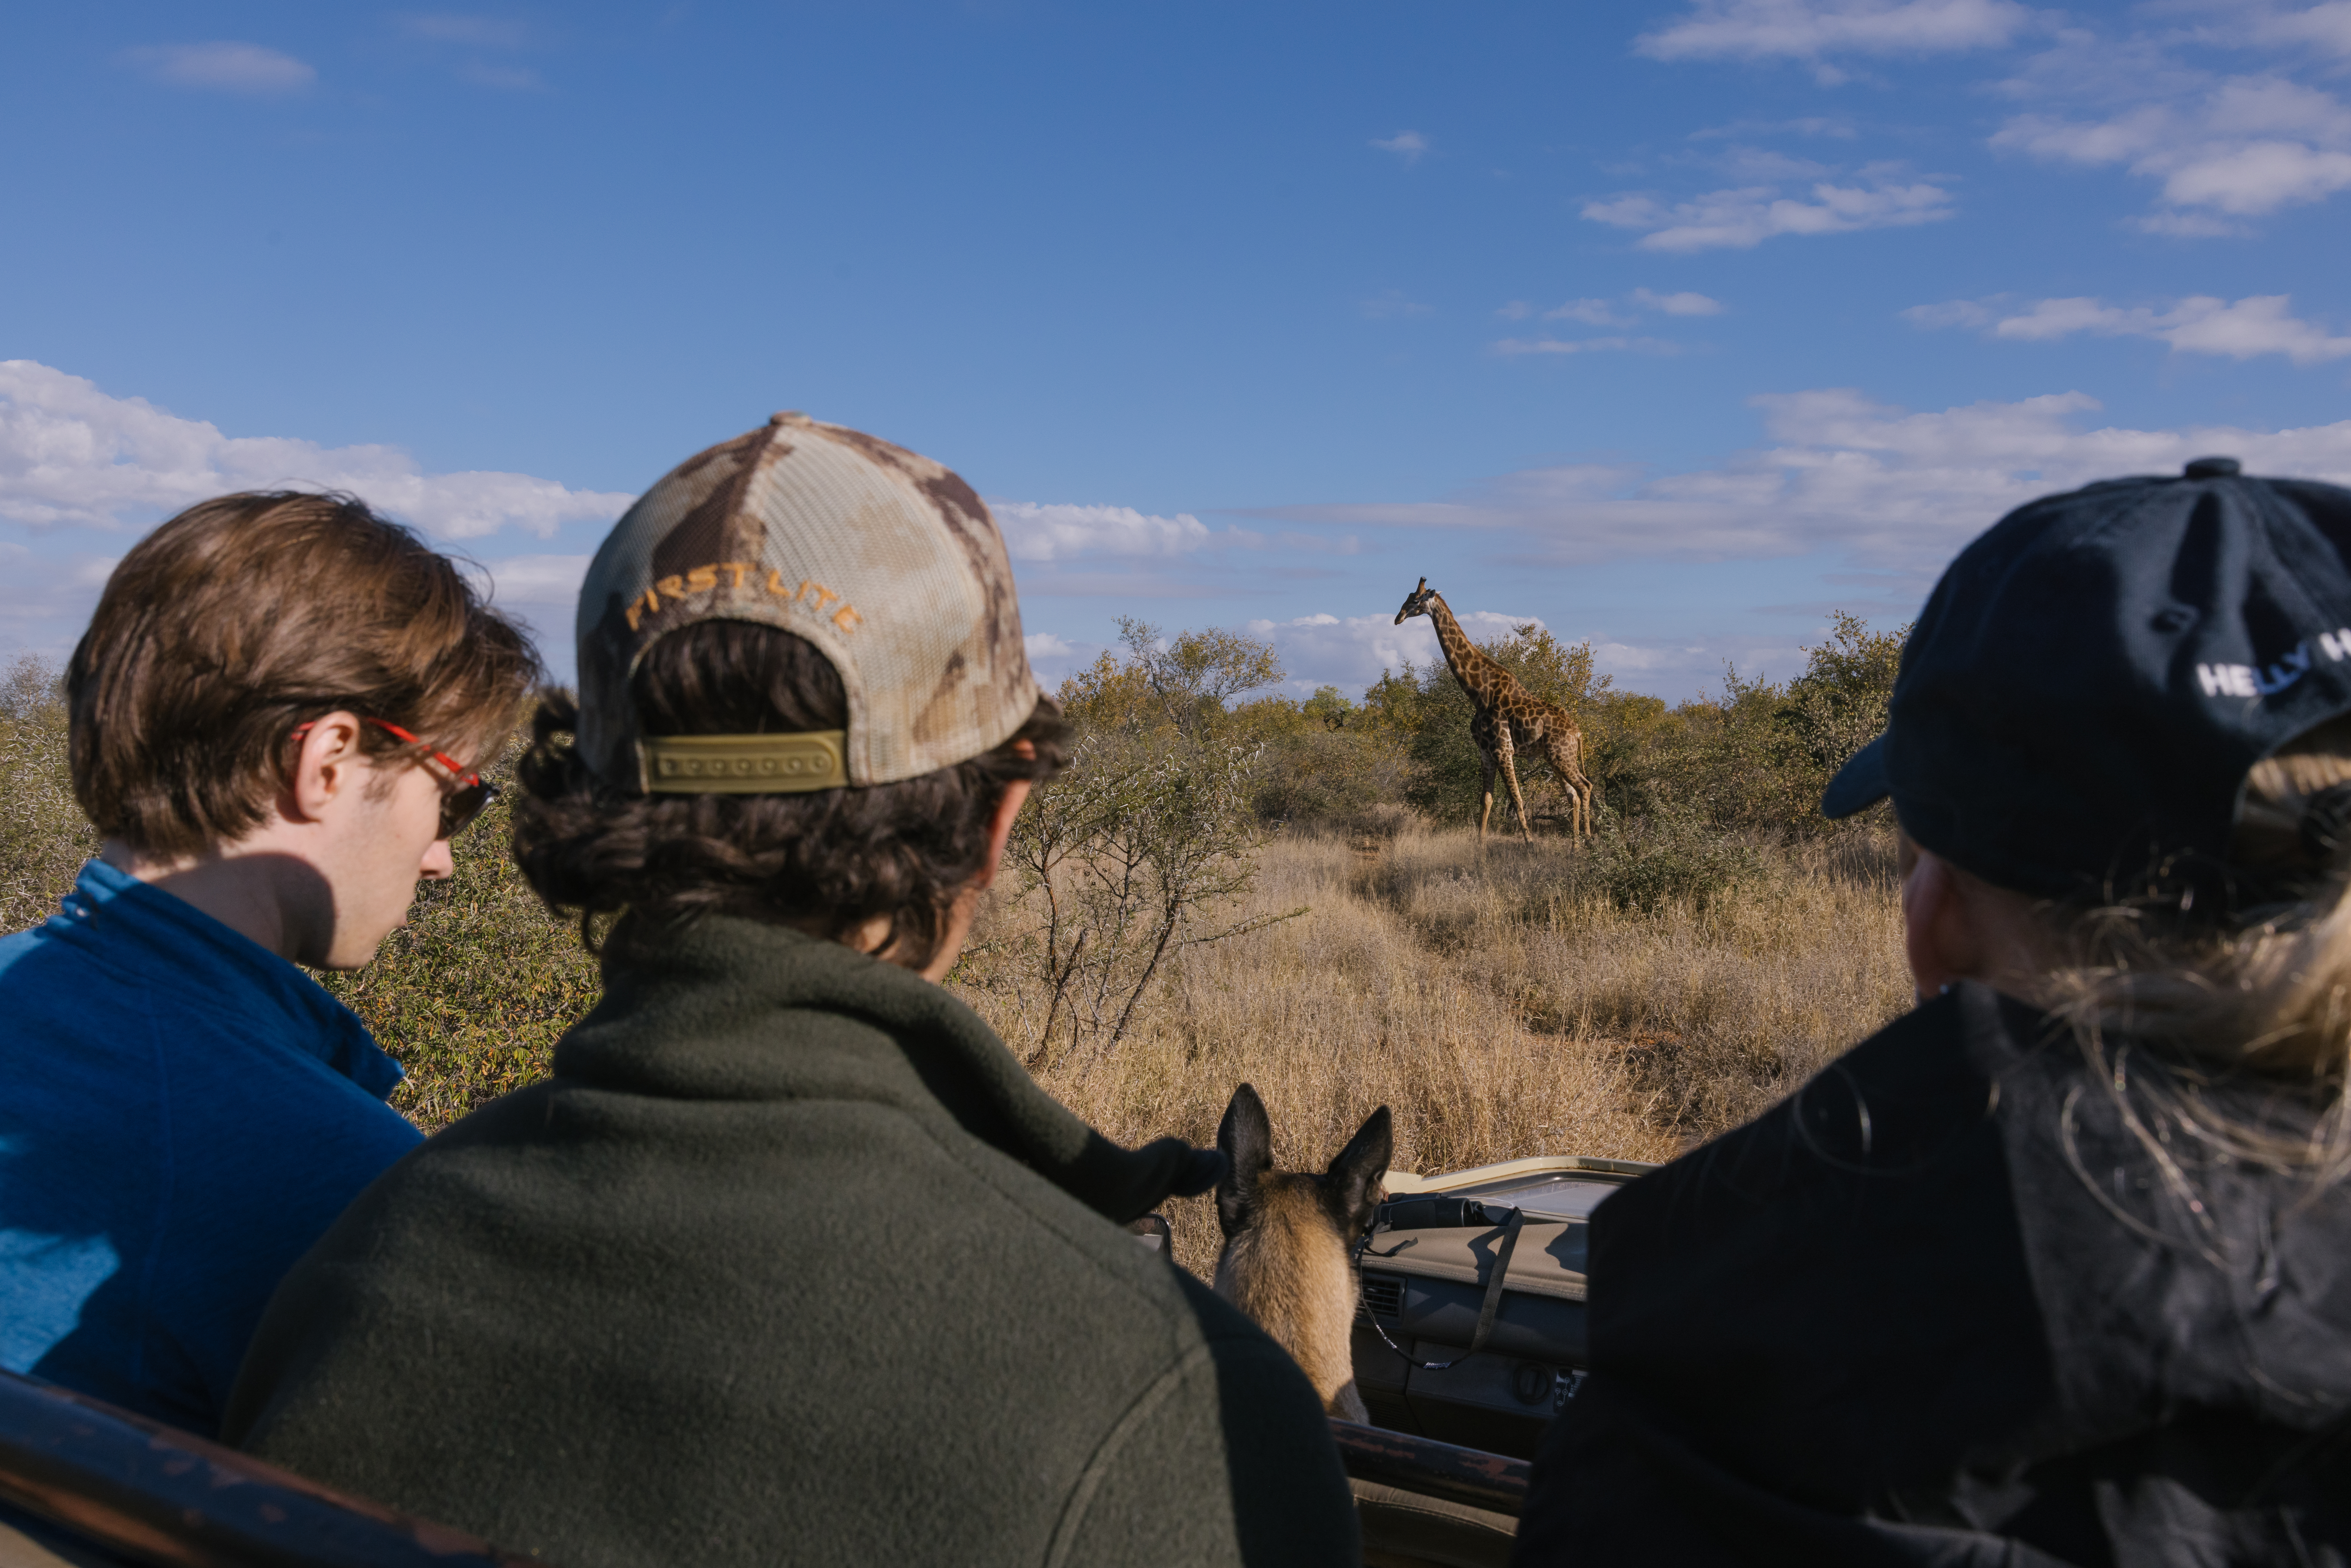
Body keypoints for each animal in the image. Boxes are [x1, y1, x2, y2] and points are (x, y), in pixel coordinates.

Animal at [1395, 577, 1595, 843]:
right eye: (1408, 597)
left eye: (1416, 600)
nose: (1398, 618)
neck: (1479, 693)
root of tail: (1577, 732)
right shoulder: (1485, 752)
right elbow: (1487, 799)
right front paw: (1480, 844)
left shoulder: (1503, 750)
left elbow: (1517, 799)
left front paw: (1530, 844)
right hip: (1555, 757)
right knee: (1573, 794)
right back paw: (1575, 846)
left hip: (1561, 755)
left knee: (1585, 787)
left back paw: (1589, 841)